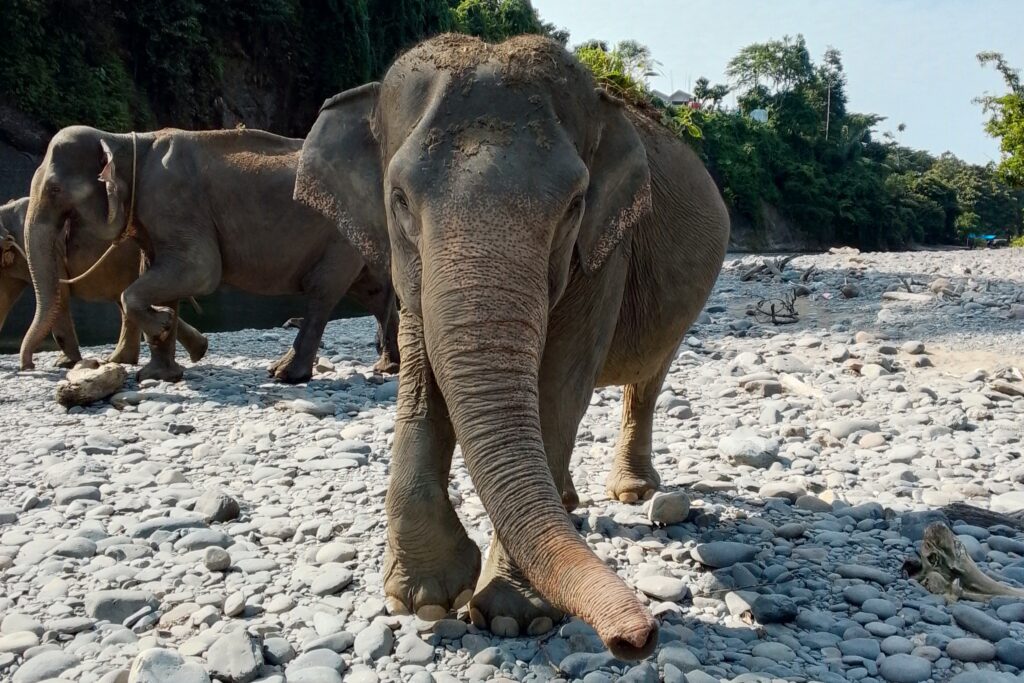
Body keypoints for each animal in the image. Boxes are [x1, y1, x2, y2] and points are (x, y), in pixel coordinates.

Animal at [295, 33, 729, 659]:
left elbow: (558, 388)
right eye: (398, 198)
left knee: (647, 381)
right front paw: (425, 598)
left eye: (574, 203)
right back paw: (568, 504)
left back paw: (631, 491)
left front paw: (513, 617)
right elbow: (422, 378)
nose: (638, 637)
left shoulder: (604, 253)